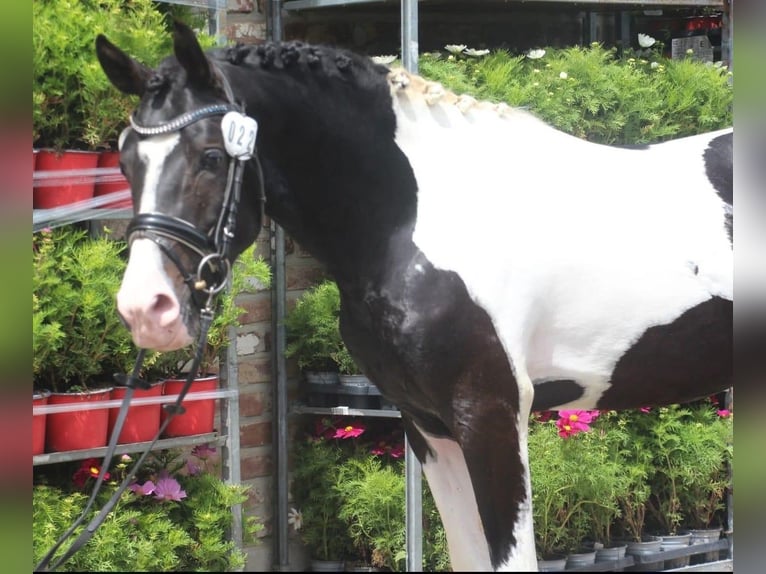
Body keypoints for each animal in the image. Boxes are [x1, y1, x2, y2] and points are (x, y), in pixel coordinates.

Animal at [95, 20, 733, 571]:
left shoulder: (491, 416)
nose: (146, 308)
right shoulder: (429, 425)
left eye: (209, 156)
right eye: (125, 159)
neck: (414, 220)